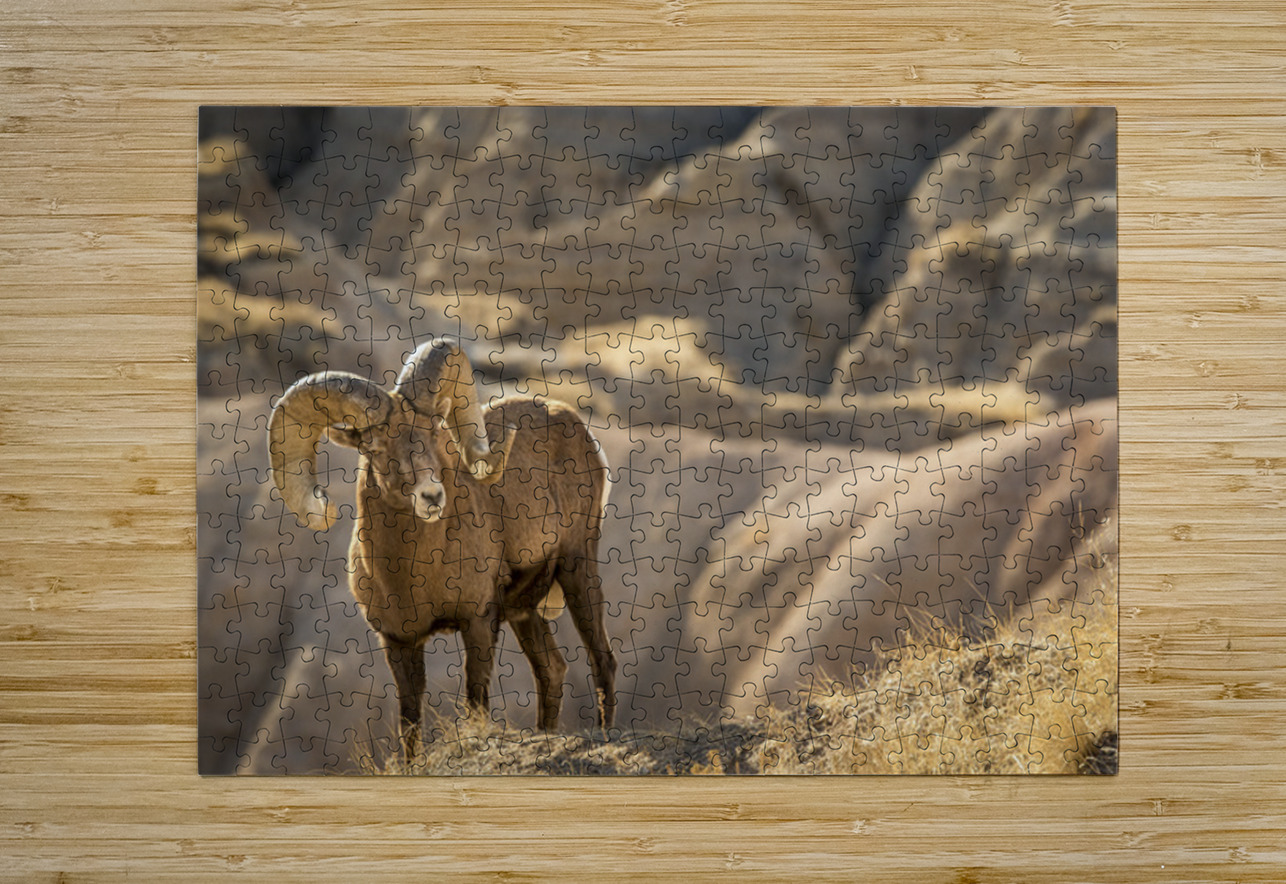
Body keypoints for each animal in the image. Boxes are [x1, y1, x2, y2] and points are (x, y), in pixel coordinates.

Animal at [267, 337, 616, 758]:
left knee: (602, 660)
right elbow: (409, 724)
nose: (431, 496)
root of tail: (571, 422)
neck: (414, 575)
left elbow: (476, 703)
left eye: (434, 431)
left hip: (578, 566)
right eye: (374, 447)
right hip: (525, 610)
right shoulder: (398, 642)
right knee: (551, 669)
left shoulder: (478, 622)